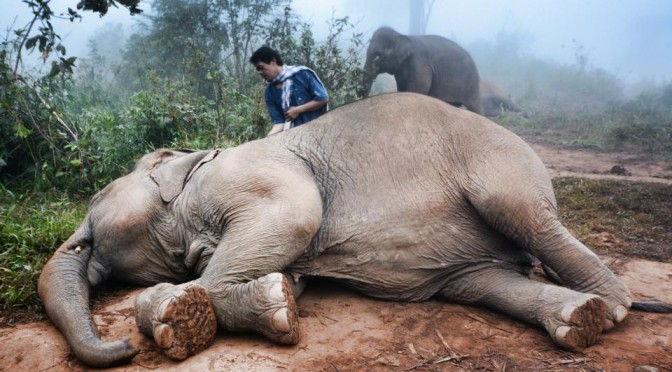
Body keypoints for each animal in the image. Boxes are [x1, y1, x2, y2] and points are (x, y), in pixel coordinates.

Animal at [36, 92, 668, 366]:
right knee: (484, 284)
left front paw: (176, 313)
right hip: (473, 265)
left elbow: (295, 213)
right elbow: (282, 267)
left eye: (94, 204)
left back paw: (612, 307)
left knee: (527, 216)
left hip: (502, 165)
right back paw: (578, 320)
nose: (119, 347)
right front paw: (279, 297)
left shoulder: (250, 174)